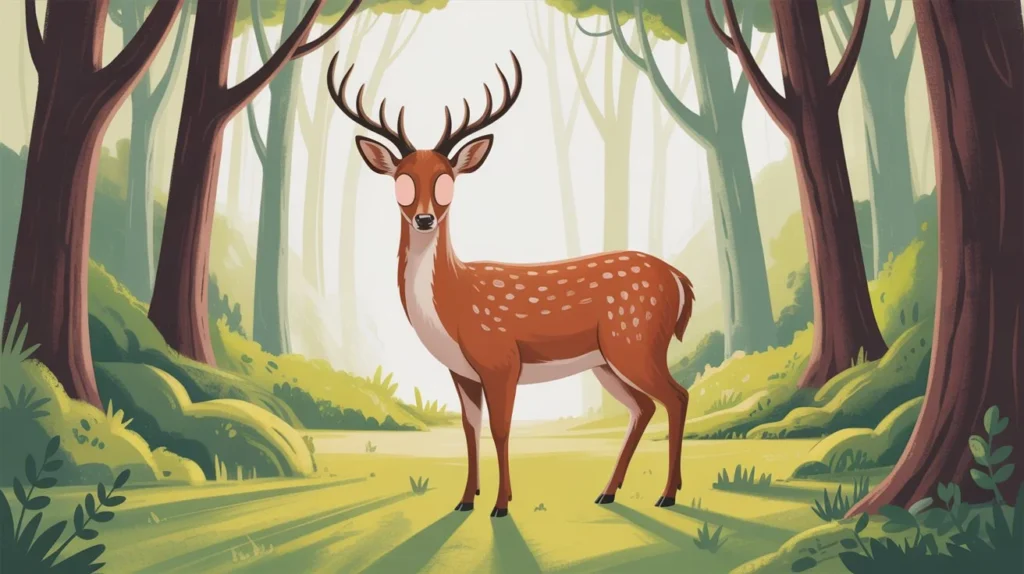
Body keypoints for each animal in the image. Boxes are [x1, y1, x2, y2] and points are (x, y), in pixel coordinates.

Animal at [327, 50, 695, 518]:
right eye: (402, 180)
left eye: (447, 180)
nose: (425, 218)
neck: (452, 306)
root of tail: (679, 279)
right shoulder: (461, 371)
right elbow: (471, 429)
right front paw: (466, 499)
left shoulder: (500, 359)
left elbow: (501, 430)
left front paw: (501, 504)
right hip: (606, 360)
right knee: (644, 407)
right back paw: (609, 491)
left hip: (635, 341)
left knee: (677, 397)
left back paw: (668, 493)